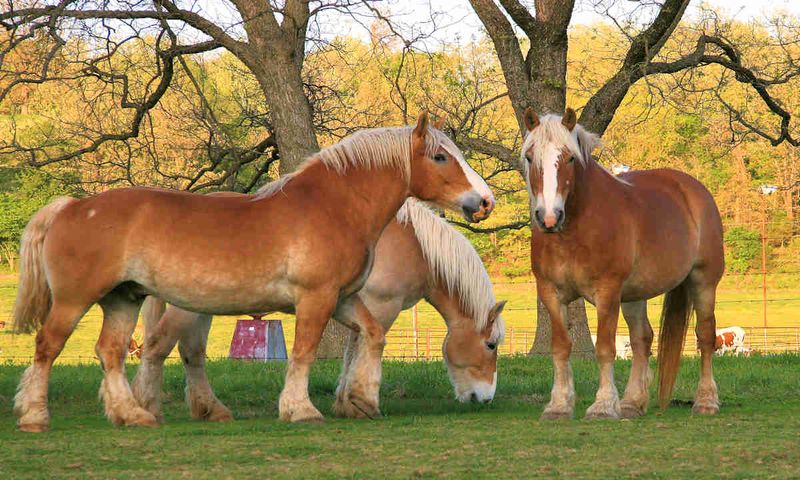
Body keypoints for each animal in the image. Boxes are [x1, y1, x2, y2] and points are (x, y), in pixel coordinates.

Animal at [131, 197, 506, 422]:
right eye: (490, 345)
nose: (486, 397)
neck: (414, 246)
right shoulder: (381, 307)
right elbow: (359, 351)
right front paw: (354, 401)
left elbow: (353, 349)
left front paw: (346, 401)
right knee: (163, 346)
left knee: (191, 353)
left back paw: (208, 409)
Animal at [520, 109, 728, 420]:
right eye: (531, 156)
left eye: (569, 158)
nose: (549, 217)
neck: (575, 230)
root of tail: (693, 189)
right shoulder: (550, 293)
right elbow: (560, 347)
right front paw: (558, 405)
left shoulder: (607, 293)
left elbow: (605, 348)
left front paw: (604, 405)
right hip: (633, 295)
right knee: (642, 340)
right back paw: (632, 402)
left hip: (703, 282)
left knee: (705, 336)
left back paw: (706, 401)